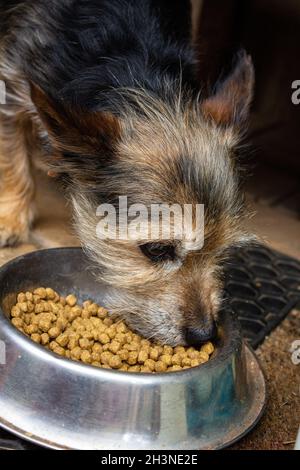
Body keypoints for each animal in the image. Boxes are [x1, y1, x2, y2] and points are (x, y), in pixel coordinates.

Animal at [0, 0, 255, 346]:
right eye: (157, 249)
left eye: (222, 250)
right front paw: (11, 218)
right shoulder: (11, 80)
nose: (203, 334)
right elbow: (11, 156)